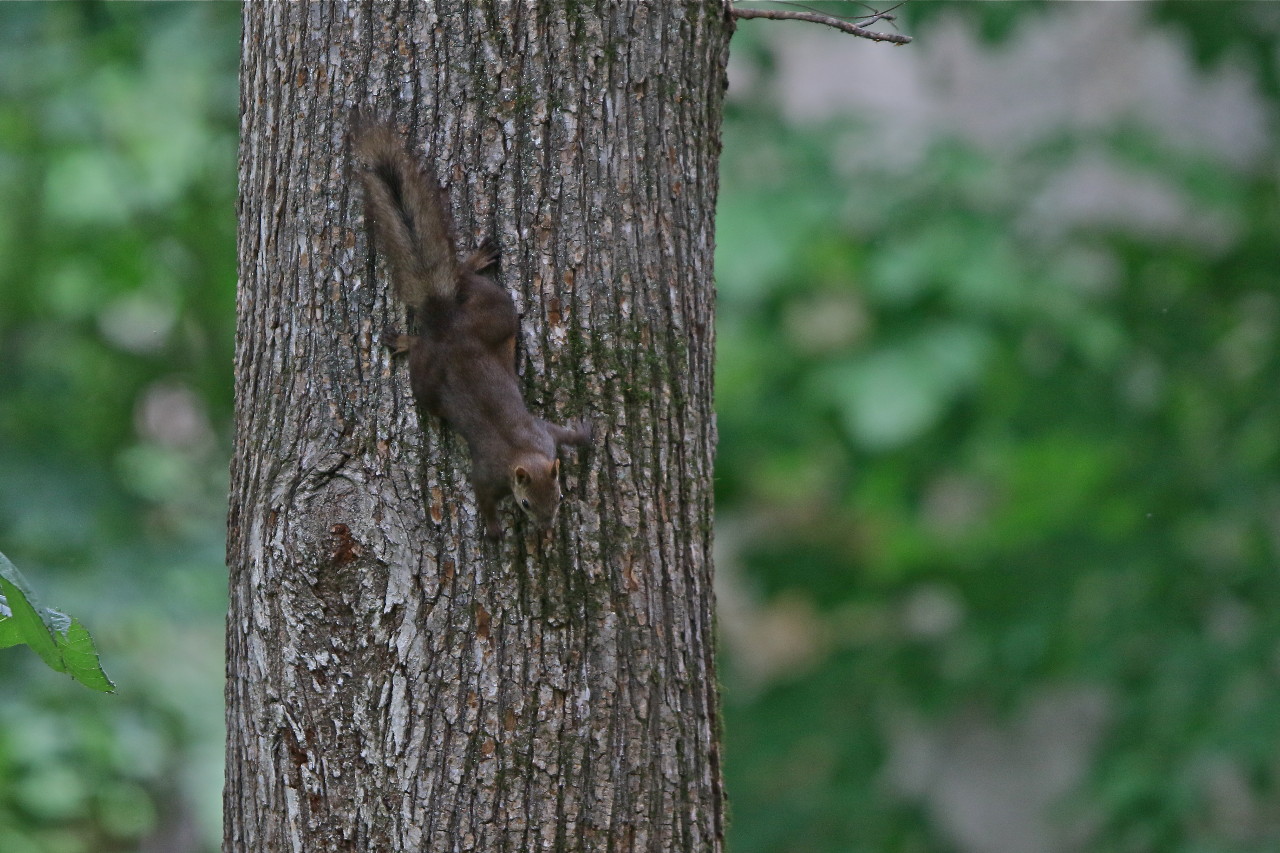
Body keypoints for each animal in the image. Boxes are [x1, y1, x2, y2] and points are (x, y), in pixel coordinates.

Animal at [350, 124, 588, 537]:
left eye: (559, 496)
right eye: (526, 504)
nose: (545, 529)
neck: (523, 451)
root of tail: (447, 323)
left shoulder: (545, 435)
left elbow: (565, 434)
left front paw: (587, 434)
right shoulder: (488, 472)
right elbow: (483, 495)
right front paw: (493, 530)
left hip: (496, 311)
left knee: (463, 277)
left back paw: (477, 259)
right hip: (427, 379)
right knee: (421, 356)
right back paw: (404, 341)